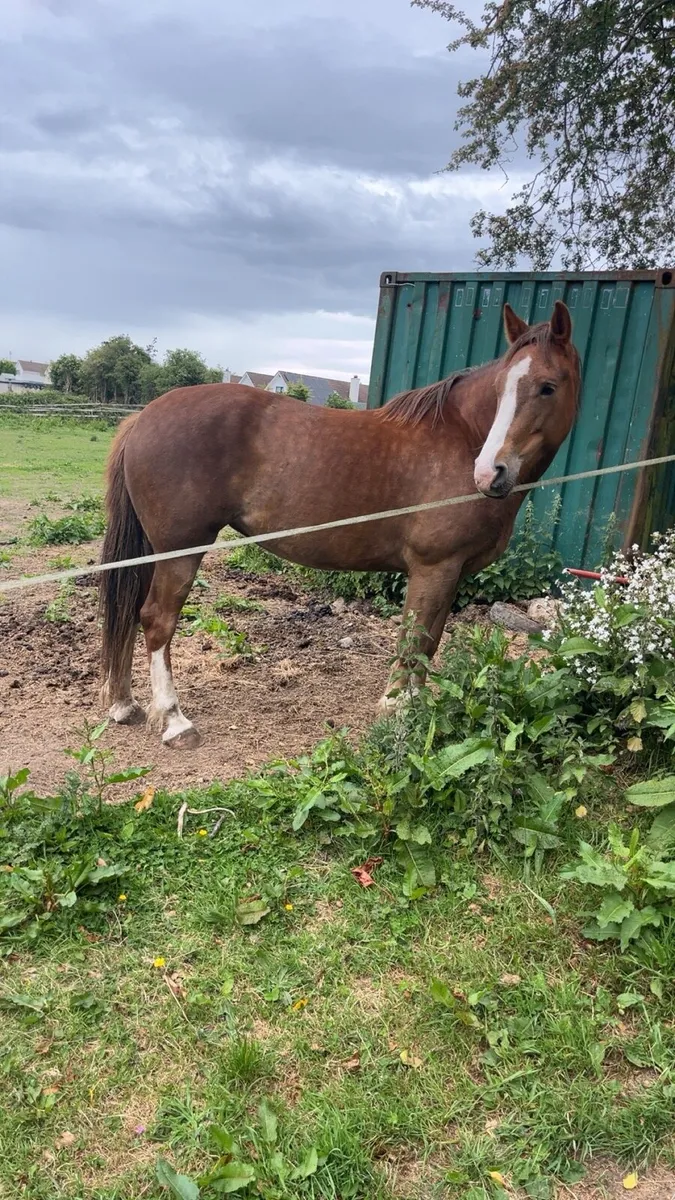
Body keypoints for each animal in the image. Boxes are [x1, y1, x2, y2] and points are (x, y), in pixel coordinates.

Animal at [99, 300, 580, 750]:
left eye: (548, 387)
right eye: (501, 389)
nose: (489, 472)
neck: (461, 437)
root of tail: (142, 417)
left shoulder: (450, 574)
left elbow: (429, 643)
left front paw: (418, 707)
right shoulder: (434, 568)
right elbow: (413, 642)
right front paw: (398, 711)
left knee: (128, 610)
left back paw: (124, 704)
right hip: (181, 550)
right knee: (157, 619)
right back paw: (174, 721)